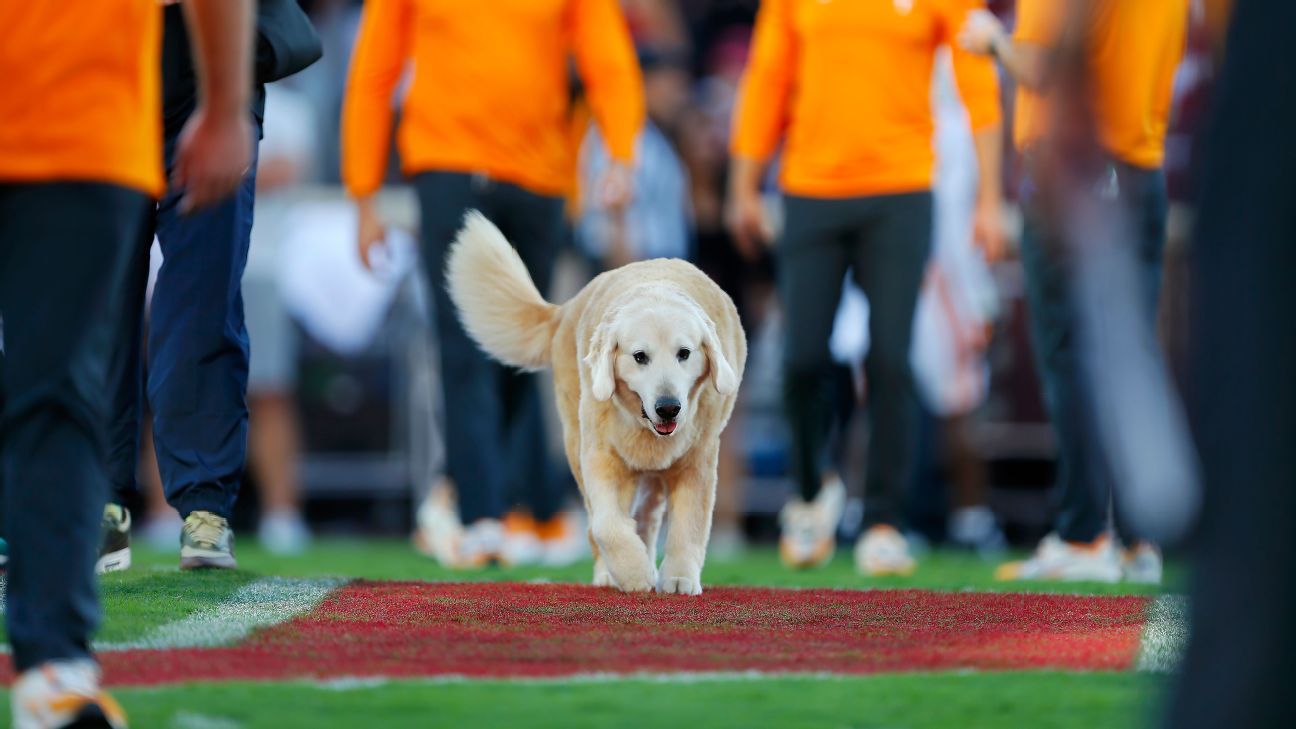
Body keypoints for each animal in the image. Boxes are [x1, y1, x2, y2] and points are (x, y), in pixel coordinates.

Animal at [448, 208, 746, 591]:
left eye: (684, 353)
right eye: (640, 356)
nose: (668, 407)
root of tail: (565, 308)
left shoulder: (698, 463)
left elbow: (688, 527)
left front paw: (679, 578)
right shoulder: (600, 456)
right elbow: (607, 524)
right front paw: (633, 572)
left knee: (648, 515)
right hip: (575, 441)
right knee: (599, 522)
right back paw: (610, 573)